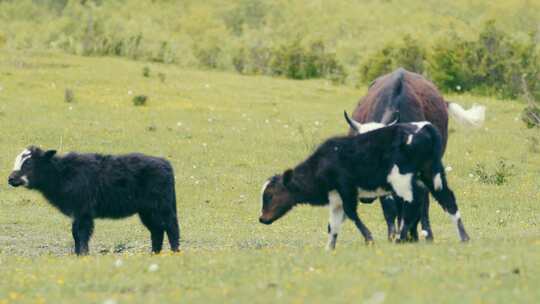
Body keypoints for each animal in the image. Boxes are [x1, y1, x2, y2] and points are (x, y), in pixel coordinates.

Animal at [8, 146, 180, 255]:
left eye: (29, 163)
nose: (10, 179)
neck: (63, 174)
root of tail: (165, 163)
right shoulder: (77, 213)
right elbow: (75, 233)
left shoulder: (83, 212)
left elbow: (81, 233)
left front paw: (83, 254)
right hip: (147, 211)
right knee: (157, 230)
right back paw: (154, 254)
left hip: (162, 207)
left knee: (171, 227)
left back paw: (174, 252)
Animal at [260, 121, 470, 249]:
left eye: (270, 195)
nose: (261, 219)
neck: (324, 161)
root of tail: (424, 127)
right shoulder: (335, 198)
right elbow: (333, 225)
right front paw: (329, 247)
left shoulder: (347, 190)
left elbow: (352, 214)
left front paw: (369, 239)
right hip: (432, 175)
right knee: (448, 201)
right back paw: (464, 237)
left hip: (402, 180)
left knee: (412, 205)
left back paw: (400, 239)